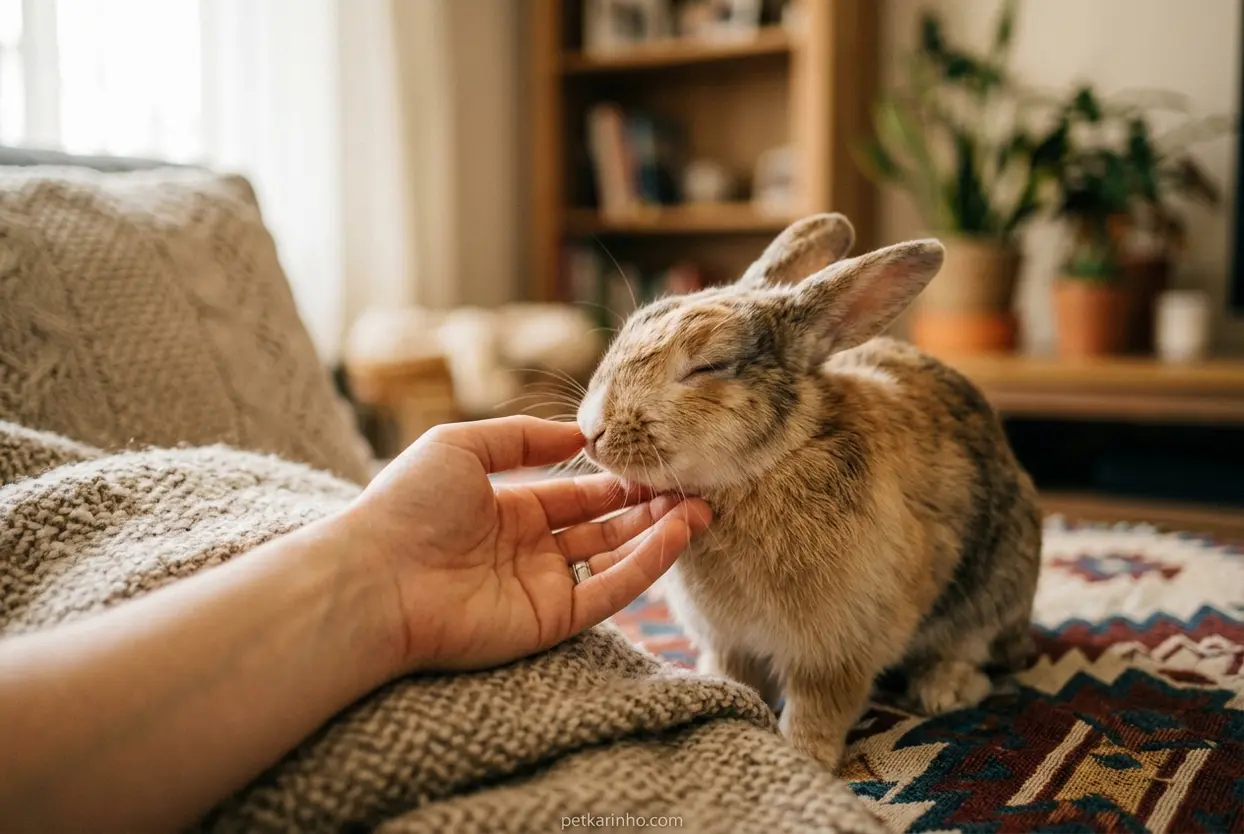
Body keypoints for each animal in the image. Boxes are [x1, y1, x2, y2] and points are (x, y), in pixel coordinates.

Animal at [576, 213, 1042, 772]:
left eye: (708, 366)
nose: (591, 431)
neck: (761, 470)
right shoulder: (730, 640)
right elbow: (735, 674)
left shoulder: (837, 650)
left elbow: (819, 705)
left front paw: (805, 757)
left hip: (994, 583)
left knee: (973, 648)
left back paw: (943, 689)